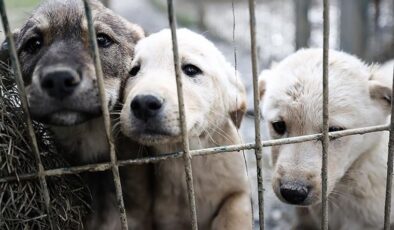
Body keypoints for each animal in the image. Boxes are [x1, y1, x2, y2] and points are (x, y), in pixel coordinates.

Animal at [118, 29, 252, 230]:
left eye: (191, 69)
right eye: (133, 71)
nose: (143, 104)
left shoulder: (240, 189)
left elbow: (235, 210)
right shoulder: (167, 218)